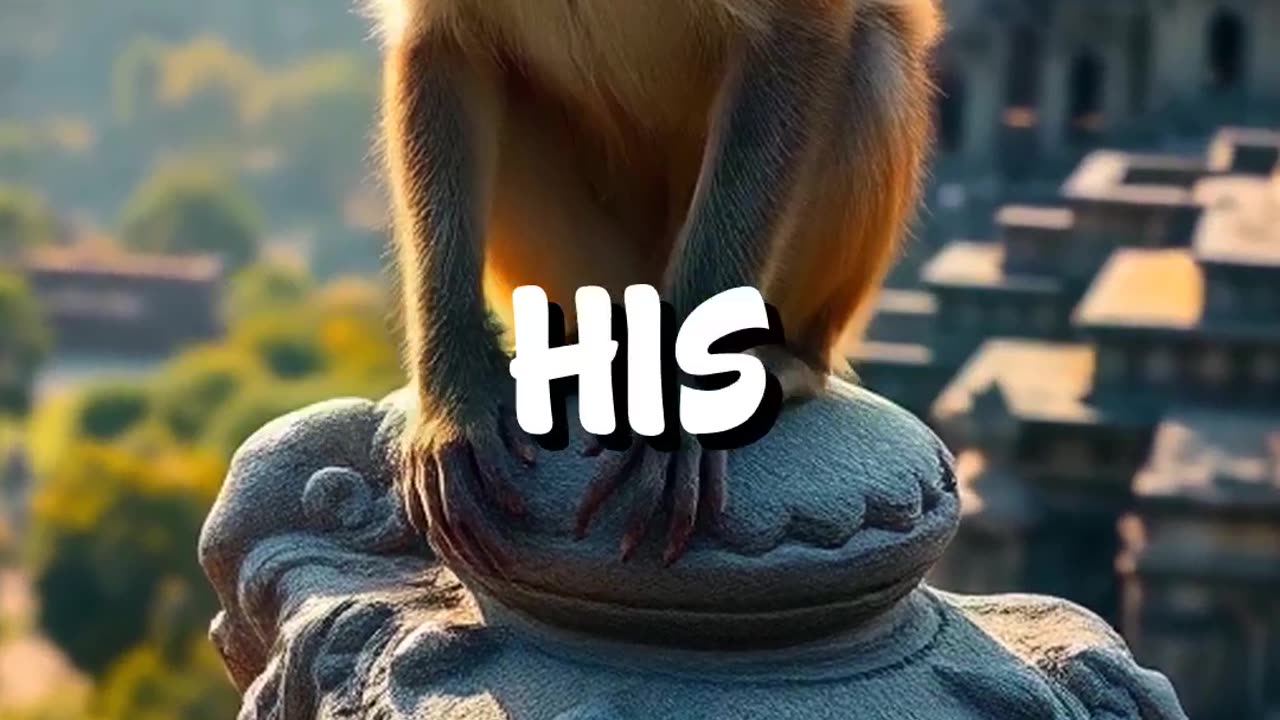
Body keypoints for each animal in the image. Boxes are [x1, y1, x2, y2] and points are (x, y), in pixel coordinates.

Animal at [371, 0, 941, 575]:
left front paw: (679, 390)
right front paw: (458, 403)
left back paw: (786, 361)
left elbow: (795, 32)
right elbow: (441, 45)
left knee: (871, 53)